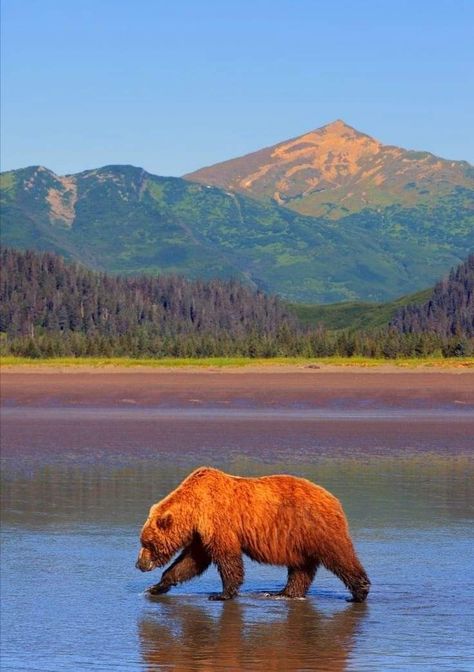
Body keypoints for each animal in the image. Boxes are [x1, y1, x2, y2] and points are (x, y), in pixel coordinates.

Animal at [136, 468, 370, 604]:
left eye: (148, 543)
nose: (139, 564)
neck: (194, 508)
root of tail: (333, 498)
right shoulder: (200, 534)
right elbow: (191, 562)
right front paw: (155, 587)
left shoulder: (218, 521)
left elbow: (227, 558)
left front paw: (221, 594)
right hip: (298, 539)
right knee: (301, 567)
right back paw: (284, 593)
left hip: (315, 527)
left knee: (338, 555)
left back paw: (359, 591)